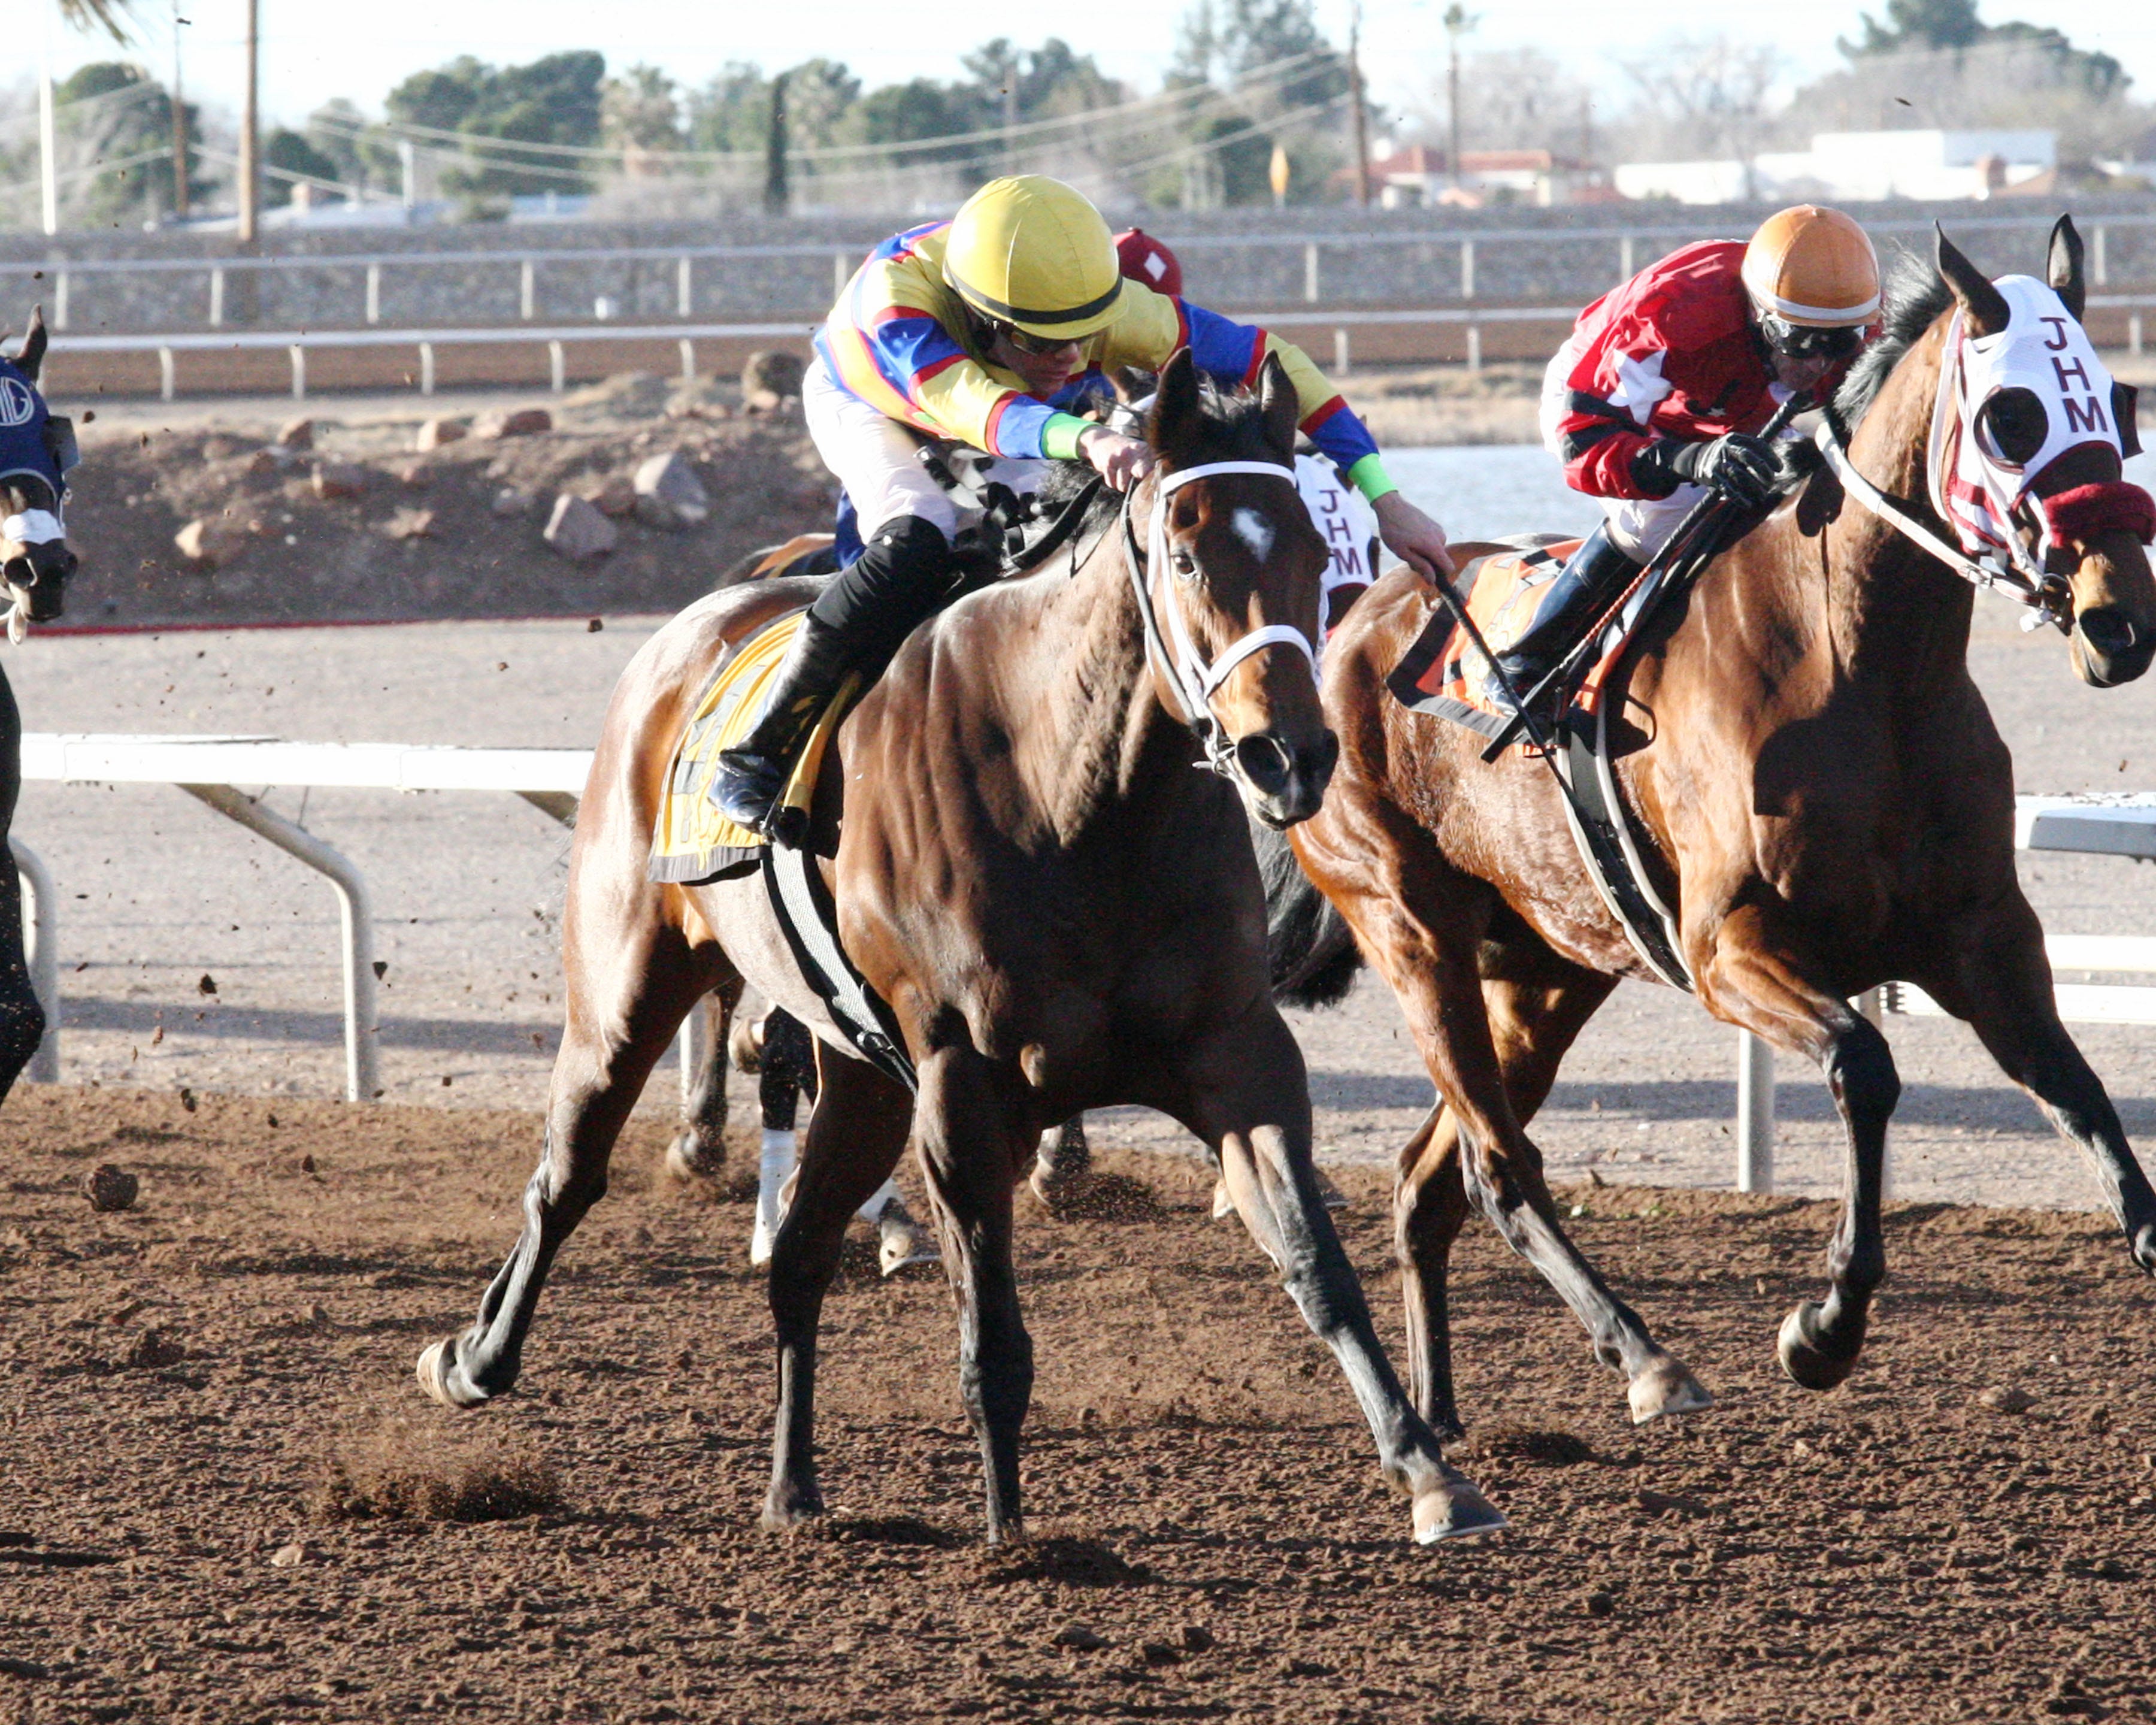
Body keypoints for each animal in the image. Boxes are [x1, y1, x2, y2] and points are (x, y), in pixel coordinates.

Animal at [416, 358, 1500, 1544]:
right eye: (1183, 553)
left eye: (1313, 551)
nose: (1290, 757)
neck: (1076, 794)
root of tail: (686, 630)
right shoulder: (960, 1080)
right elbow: (994, 1337)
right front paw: (1010, 1531)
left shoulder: (1236, 1057)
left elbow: (1316, 1265)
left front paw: (1432, 1474)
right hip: (627, 985)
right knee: (567, 1177)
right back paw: (472, 1360)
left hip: (860, 1074)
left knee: (800, 1254)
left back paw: (793, 1487)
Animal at [1276, 225, 2156, 1440]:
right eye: (2011, 416)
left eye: (2117, 401)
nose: (2122, 619)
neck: (1856, 662)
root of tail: (1347, 628)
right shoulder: (1731, 948)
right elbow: (1864, 1066)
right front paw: (1823, 1327)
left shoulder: (1986, 941)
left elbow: (2077, 1091)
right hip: (1414, 939)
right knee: (1499, 1168)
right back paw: (1645, 1358)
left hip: (1545, 972)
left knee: (1428, 1181)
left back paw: (1441, 1414)